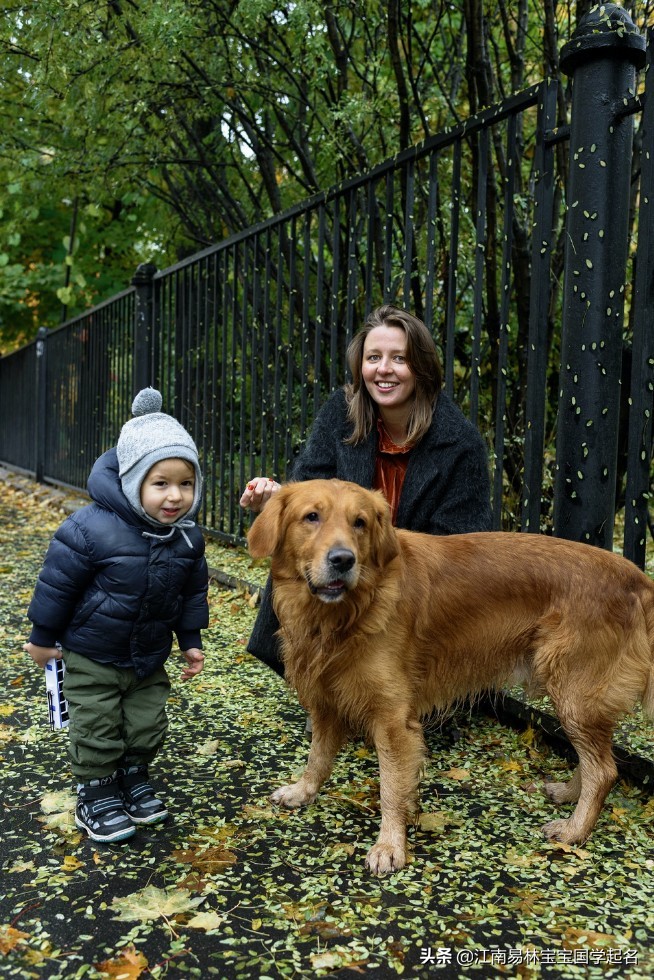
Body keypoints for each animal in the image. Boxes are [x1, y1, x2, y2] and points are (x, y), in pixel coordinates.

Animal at [247, 480, 654, 872]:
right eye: (311, 517)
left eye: (359, 522)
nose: (343, 560)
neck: (347, 614)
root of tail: (636, 576)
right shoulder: (326, 699)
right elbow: (318, 757)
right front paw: (303, 791)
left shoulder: (393, 720)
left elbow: (391, 788)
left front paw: (390, 846)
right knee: (598, 760)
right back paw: (569, 794)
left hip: (573, 693)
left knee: (604, 769)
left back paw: (574, 830)